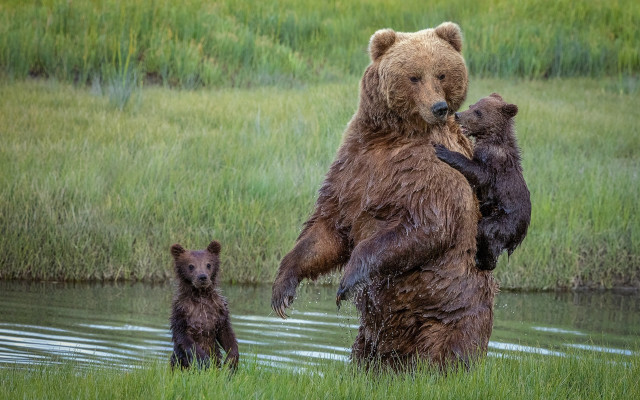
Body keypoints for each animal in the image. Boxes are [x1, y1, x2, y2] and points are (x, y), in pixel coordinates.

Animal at [169, 240, 239, 370]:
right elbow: (185, 338)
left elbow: (226, 333)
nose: (202, 277)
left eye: (208, 264)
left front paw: (231, 360)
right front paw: (205, 360)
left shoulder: (219, 310)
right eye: (191, 266)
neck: (201, 295)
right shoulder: (181, 312)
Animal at [271, 22, 497, 371]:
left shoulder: (433, 170)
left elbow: (426, 227)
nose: (439, 108)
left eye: (442, 74)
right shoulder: (354, 166)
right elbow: (328, 228)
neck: (392, 136)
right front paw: (283, 289)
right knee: (367, 352)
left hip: (450, 310)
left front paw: (347, 280)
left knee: (447, 348)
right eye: (414, 76)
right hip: (373, 335)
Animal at [435, 93, 531, 271]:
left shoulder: (494, 162)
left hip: (506, 220)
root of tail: (520, 236)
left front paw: (442, 150)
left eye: (478, 112)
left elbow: (478, 173)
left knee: (488, 231)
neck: (491, 139)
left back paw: (483, 261)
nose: (458, 115)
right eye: (471, 105)